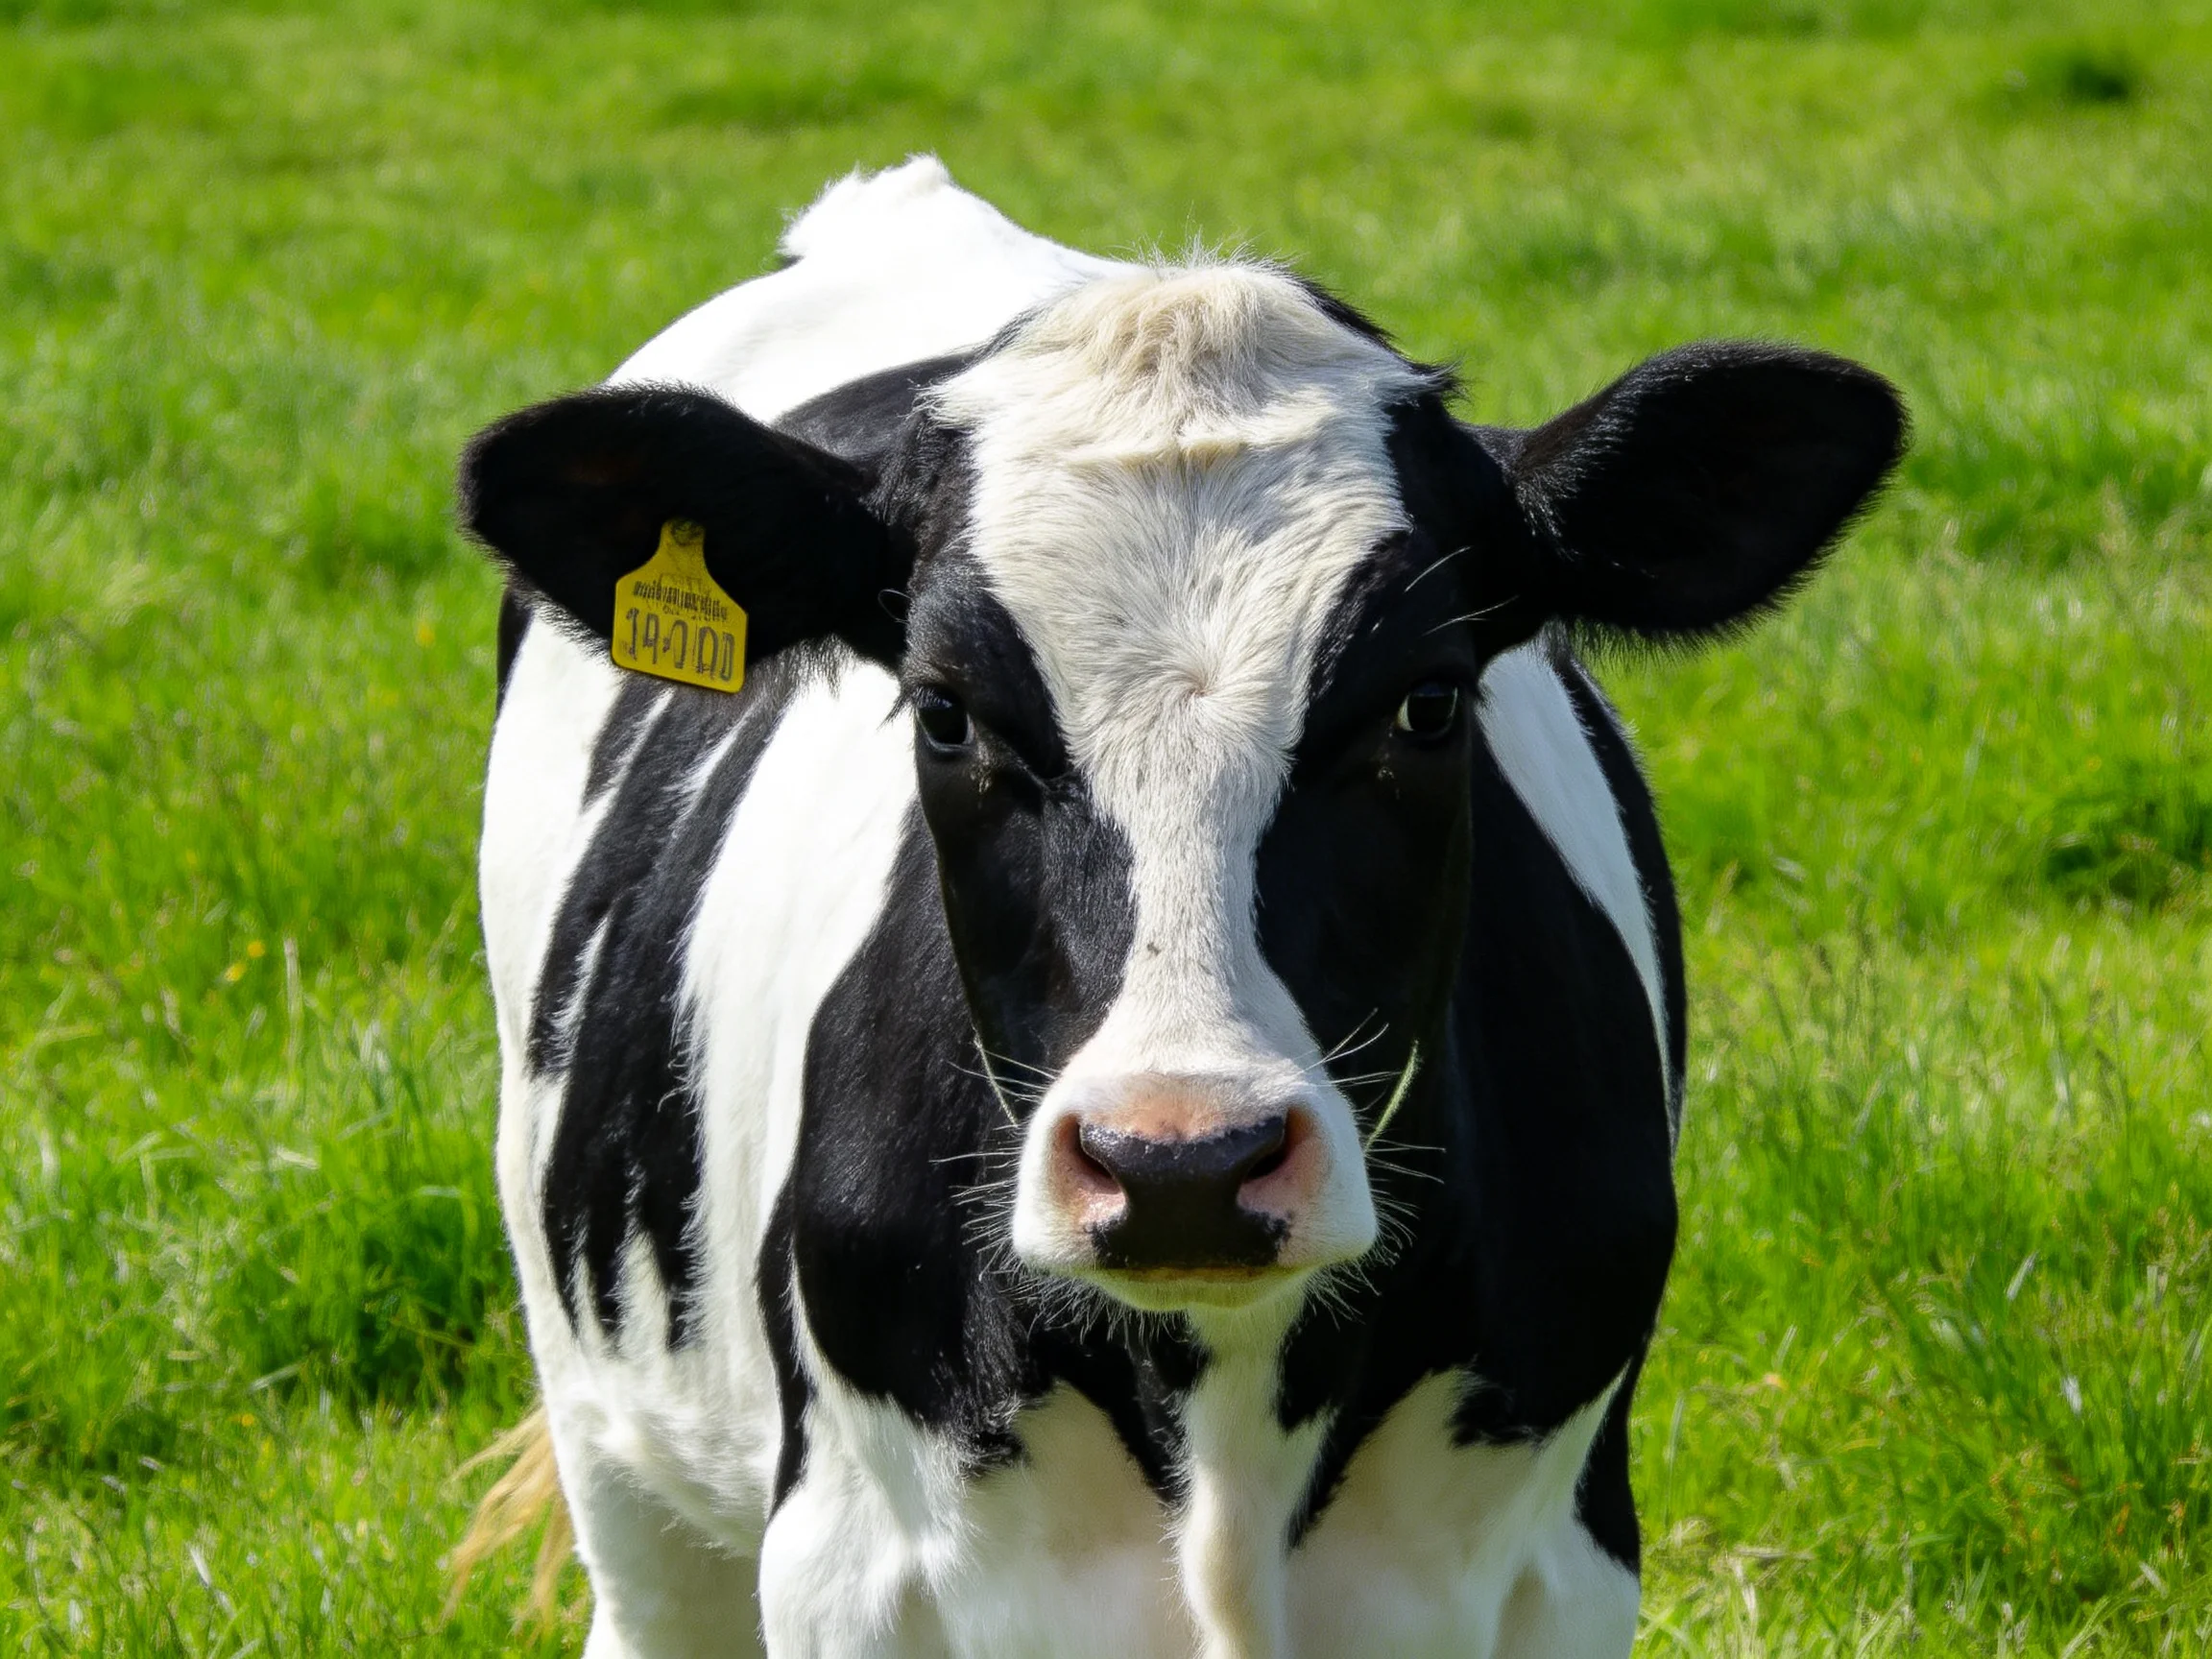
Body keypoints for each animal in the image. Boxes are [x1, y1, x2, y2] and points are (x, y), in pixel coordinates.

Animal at [460, 157, 1904, 1658]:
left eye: (1428, 701)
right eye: (945, 711)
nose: (1181, 1167)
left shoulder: (1563, 1559)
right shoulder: (847, 1566)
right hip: (618, 1446)